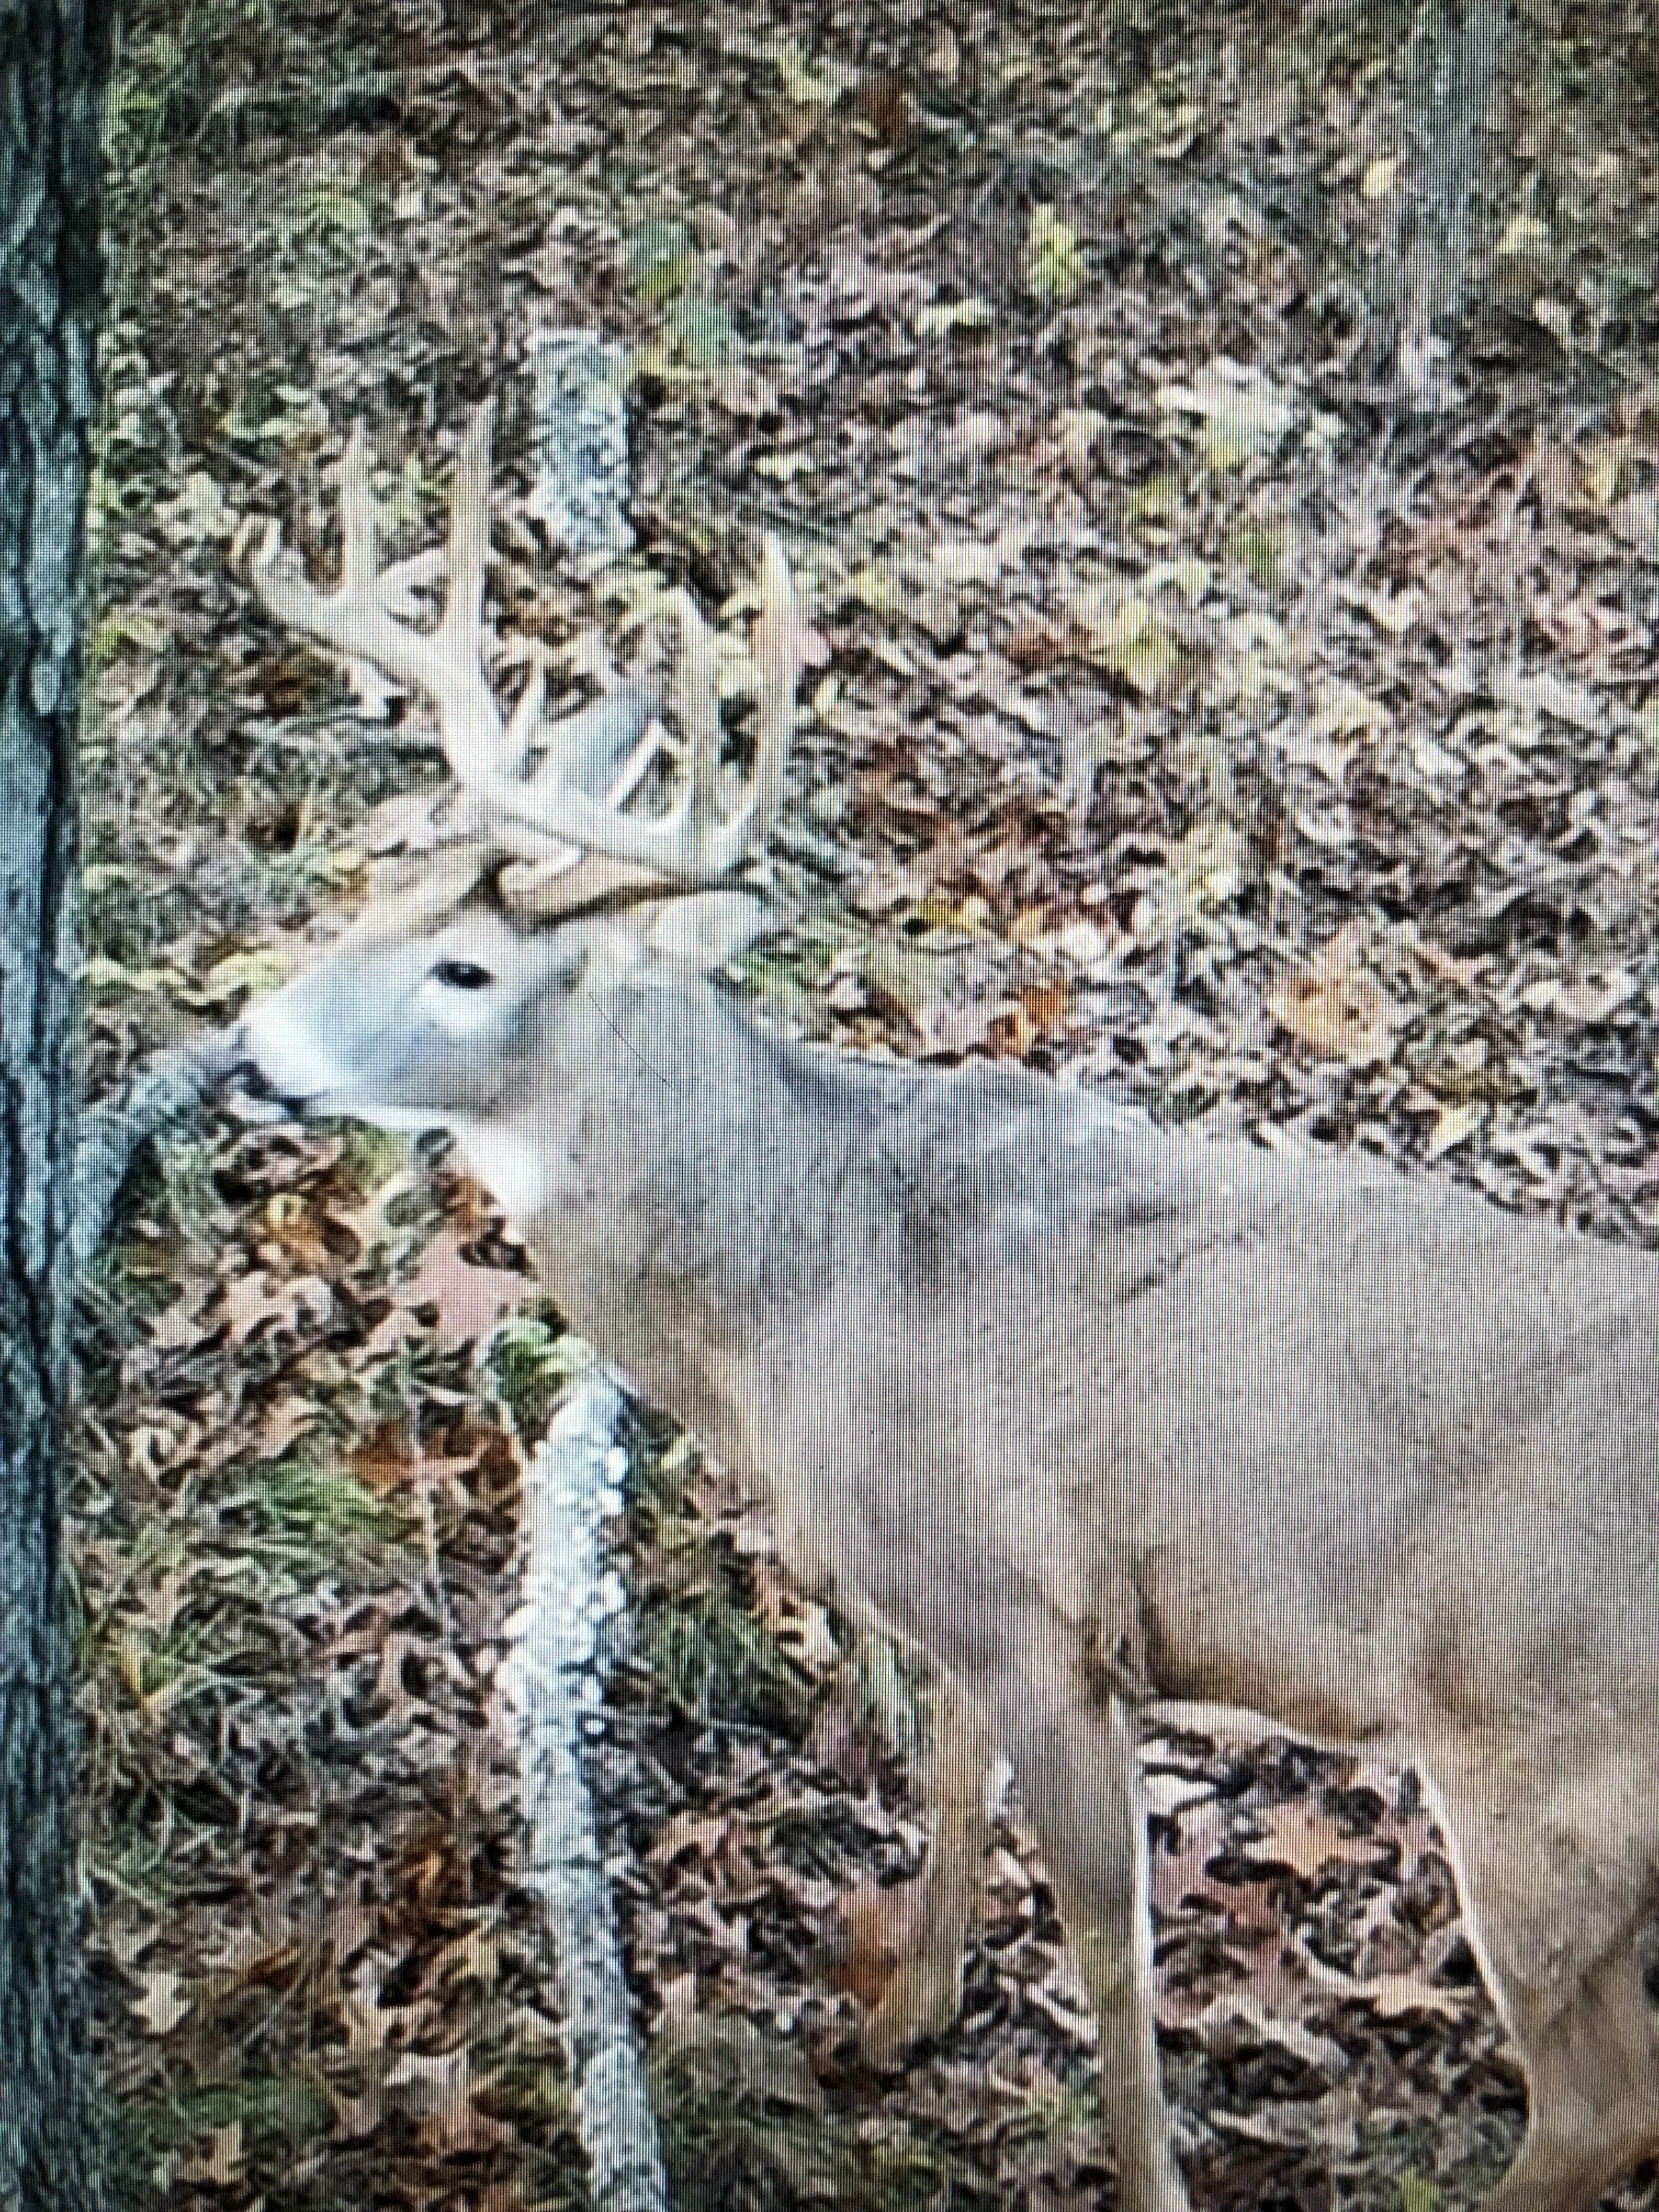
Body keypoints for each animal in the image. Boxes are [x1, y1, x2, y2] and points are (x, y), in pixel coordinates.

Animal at [234, 397, 1659, 2212]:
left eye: (468, 970)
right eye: (385, 885)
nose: (256, 1046)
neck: (800, 1280)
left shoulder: (1042, 1615)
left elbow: (1110, 1938)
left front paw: (1141, 2174)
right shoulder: (948, 1605)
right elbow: (946, 1792)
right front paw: (893, 2020)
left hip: (1540, 1760)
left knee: (1603, 2099)